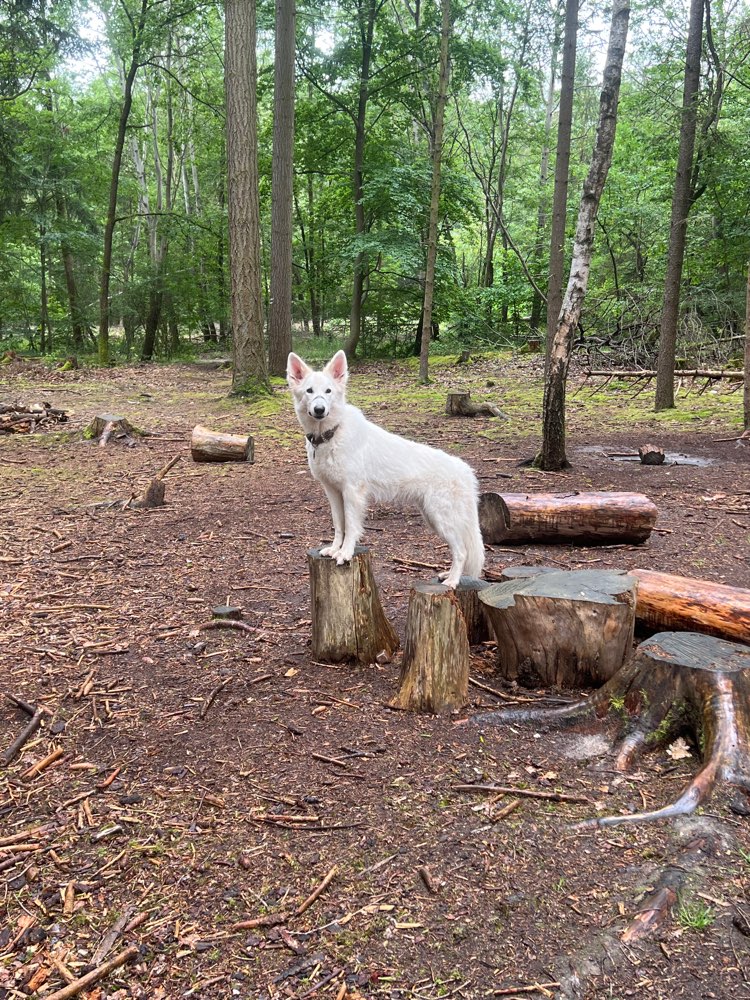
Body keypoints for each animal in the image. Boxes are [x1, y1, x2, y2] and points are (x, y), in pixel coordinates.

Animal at [284, 350, 484, 588]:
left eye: (328, 391)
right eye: (309, 391)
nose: (319, 409)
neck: (331, 434)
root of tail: (465, 470)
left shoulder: (352, 492)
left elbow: (351, 526)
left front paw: (345, 553)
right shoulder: (333, 491)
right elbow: (339, 524)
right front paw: (334, 549)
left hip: (442, 519)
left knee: (462, 551)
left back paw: (452, 581)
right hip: (432, 518)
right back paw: (448, 575)